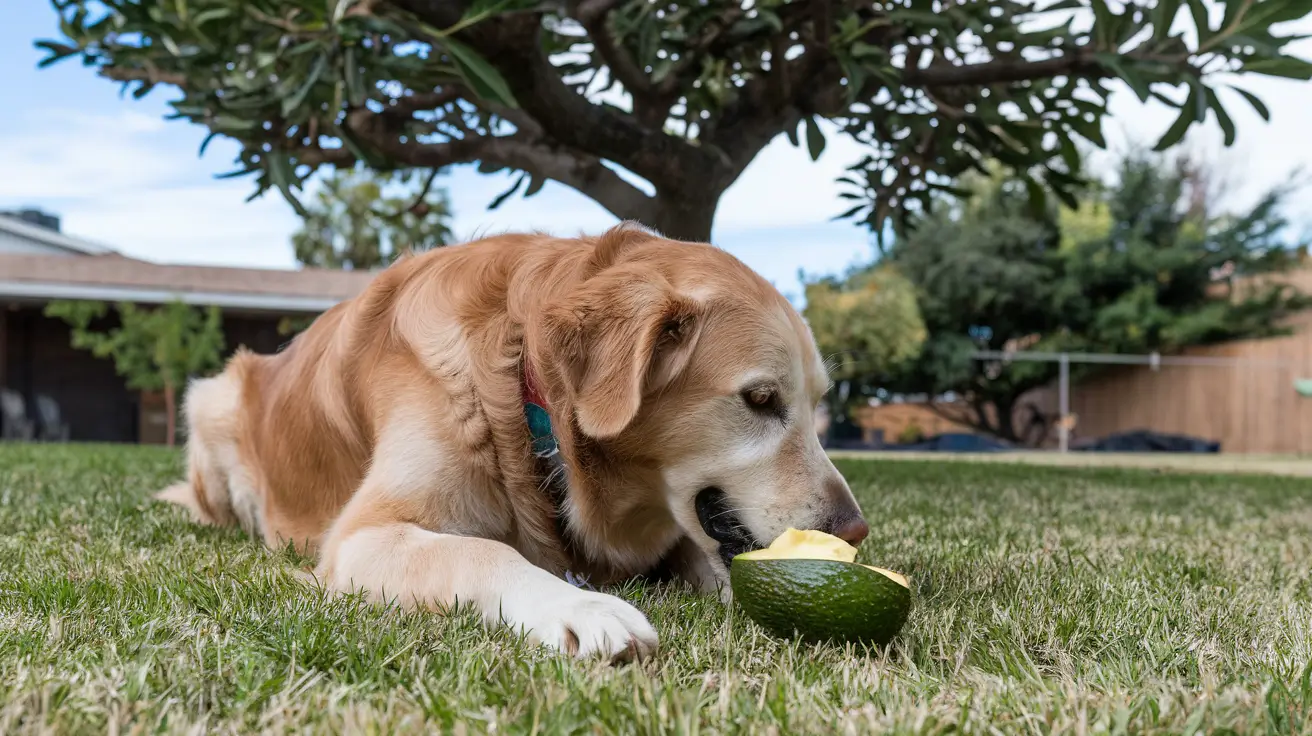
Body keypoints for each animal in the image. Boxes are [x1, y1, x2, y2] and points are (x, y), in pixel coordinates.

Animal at [156, 224, 871, 661]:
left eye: (818, 404)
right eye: (761, 400)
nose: (855, 530)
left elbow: (711, 561)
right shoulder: (362, 537)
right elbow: (482, 552)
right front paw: (581, 606)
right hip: (210, 399)